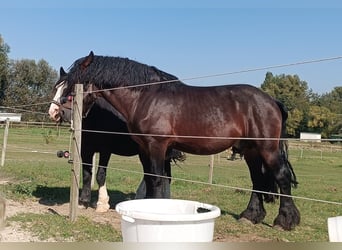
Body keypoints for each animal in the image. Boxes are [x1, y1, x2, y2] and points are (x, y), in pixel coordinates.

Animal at [48, 68, 184, 211]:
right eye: (56, 88)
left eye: (68, 89)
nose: (55, 112)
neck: (96, 116)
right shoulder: (86, 149)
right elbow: (86, 174)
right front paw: (83, 201)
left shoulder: (105, 150)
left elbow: (100, 175)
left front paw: (102, 203)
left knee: (161, 176)